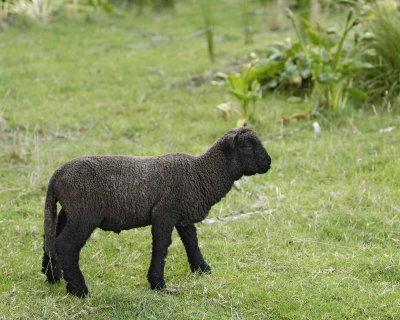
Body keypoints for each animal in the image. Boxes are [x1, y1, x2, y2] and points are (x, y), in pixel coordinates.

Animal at [41, 127, 272, 298]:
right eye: (247, 145)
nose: (268, 162)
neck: (200, 173)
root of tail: (56, 177)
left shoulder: (182, 216)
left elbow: (191, 241)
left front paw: (202, 268)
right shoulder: (164, 214)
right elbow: (161, 246)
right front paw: (158, 284)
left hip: (68, 212)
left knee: (50, 239)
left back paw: (53, 277)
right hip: (84, 215)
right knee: (65, 245)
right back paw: (79, 291)